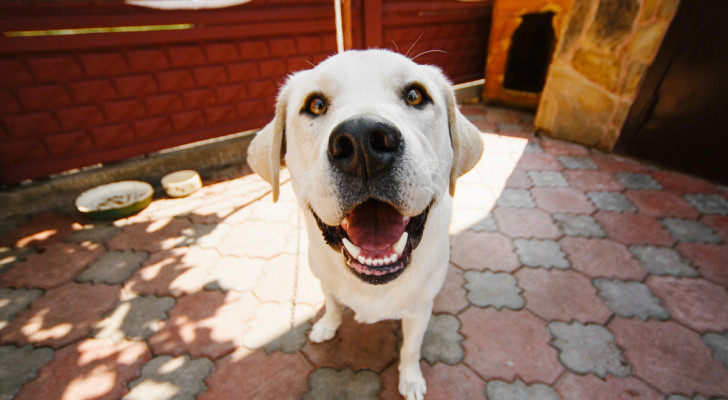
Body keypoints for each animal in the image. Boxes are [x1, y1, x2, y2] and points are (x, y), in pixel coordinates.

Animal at [249, 50, 484, 400]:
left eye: (415, 96)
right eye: (315, 104)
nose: (362, 142)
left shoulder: (419, 310)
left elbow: (410, 350)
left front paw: (410, 379)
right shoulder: (325, 282)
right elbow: (333, 304)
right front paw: (327, 325)